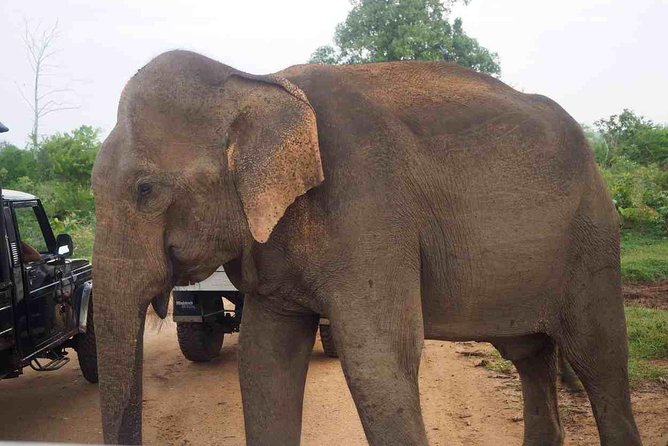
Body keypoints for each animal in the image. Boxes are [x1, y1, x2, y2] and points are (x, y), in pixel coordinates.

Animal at [91, 50, 641, 446]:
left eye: (146, 190)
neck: (257, 82)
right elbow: (263, 358)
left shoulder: (369, 206)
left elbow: (376, 358)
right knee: (530, 353)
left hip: (592, 236)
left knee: (599, 358)